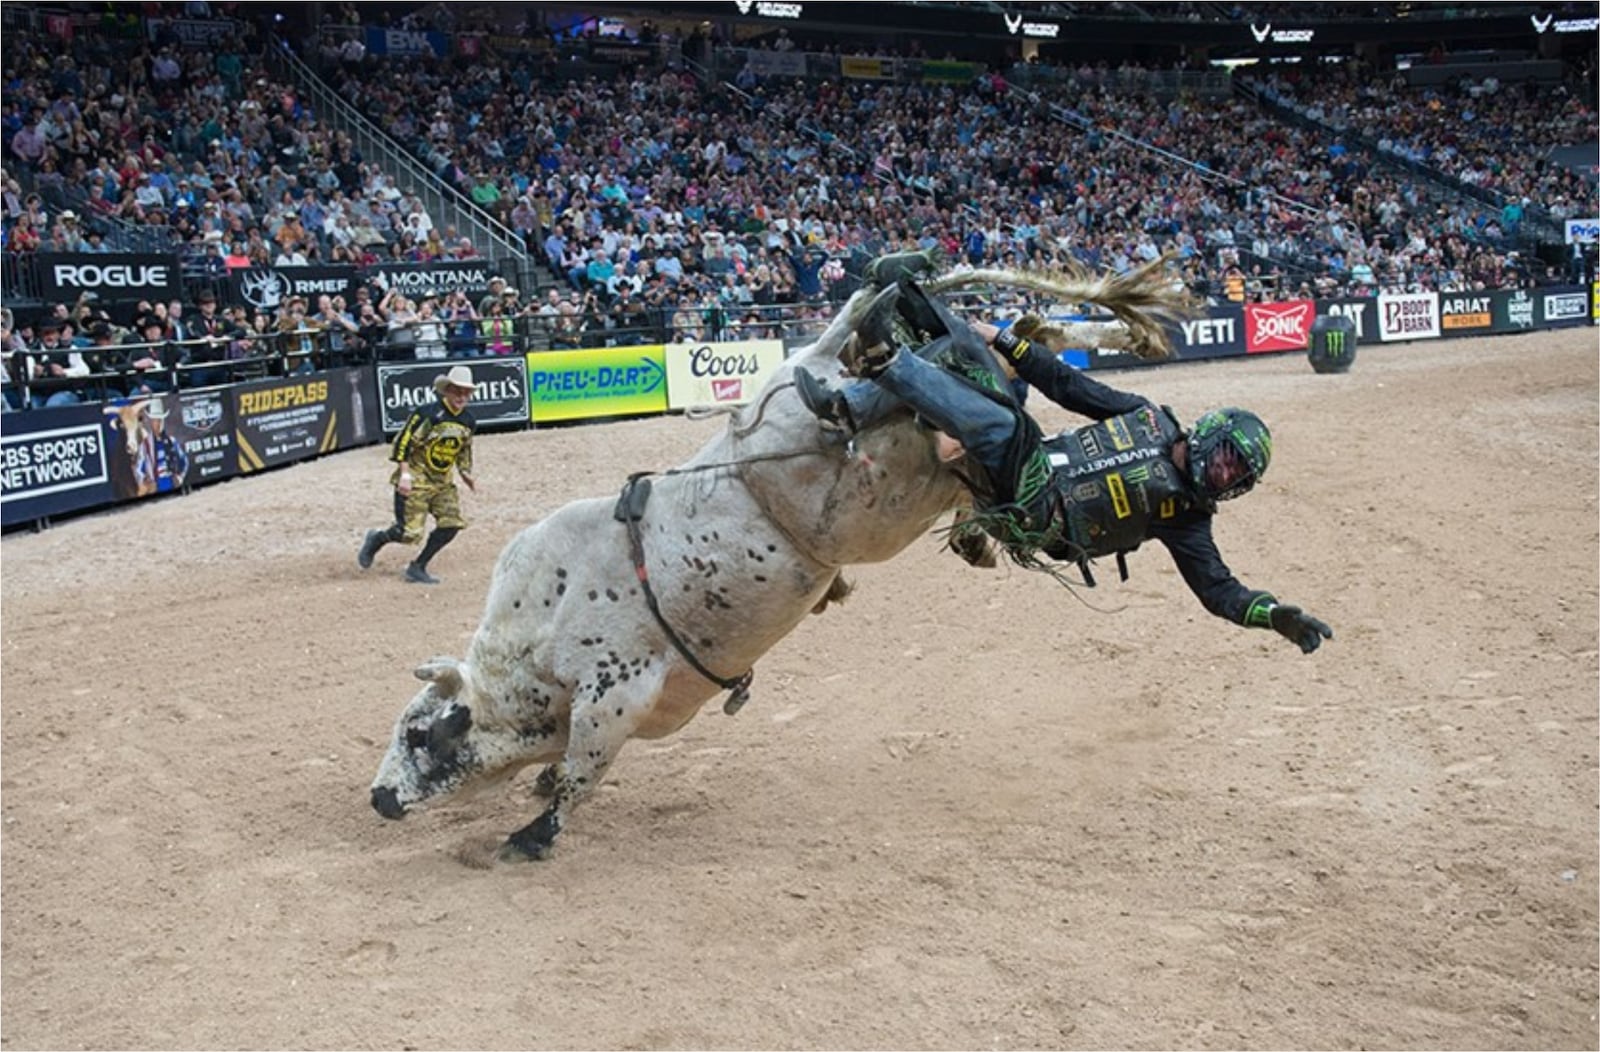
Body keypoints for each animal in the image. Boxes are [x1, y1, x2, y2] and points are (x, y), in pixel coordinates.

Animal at [366, 262, 1190, 863]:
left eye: (418, 734)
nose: (377, 799)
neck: (537, 642)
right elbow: (565, 766)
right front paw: (536, 787)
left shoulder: (615, 693)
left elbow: (582, 771)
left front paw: (531, 836)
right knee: (986, 358)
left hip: (853, 459)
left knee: (876, 346)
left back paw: (886, 310)